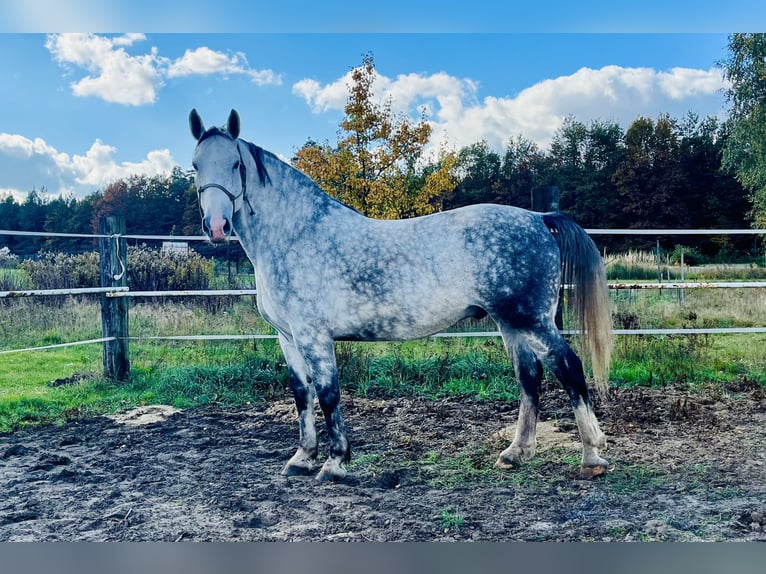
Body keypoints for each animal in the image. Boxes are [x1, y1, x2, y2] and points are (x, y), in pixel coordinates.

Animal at [189, 108, 613, 482]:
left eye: (235, 165)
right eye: (195, 165)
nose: (216, 226)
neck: (295, 236)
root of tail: (539, 219)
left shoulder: (314, 336)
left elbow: (328, 394)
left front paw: (334, 463)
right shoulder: (288, 337)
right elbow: (302, 395)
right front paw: (302, 459)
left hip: (531, 321)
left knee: (569, 369)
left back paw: (592, 456)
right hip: (511, 323)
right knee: (530, 377)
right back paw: (515, 453)